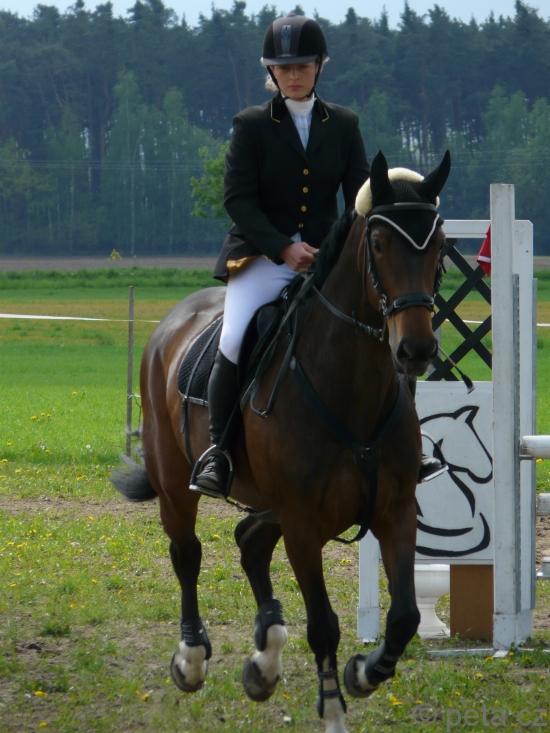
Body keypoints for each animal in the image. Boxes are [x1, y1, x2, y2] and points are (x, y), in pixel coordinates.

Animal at [112, 149, 451, 733]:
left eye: (439, 247)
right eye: (379, 245)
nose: (416, 350)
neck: (351, 387)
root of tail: (170, 325)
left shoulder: (395, 510)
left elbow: (405, 616)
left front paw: (364, 673)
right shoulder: (303, 524)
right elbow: (324, 625)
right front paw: (334, 707)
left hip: (272, 502)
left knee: (249, 540)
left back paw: (263, 662)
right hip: (178, 483)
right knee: (187, 553)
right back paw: (191, 659)